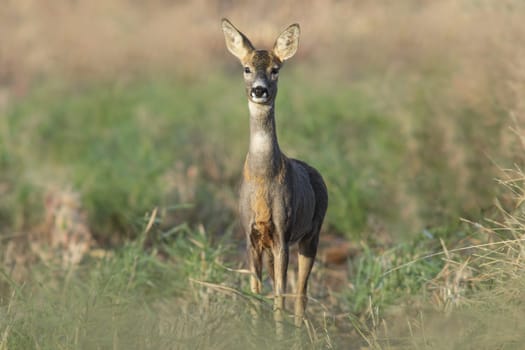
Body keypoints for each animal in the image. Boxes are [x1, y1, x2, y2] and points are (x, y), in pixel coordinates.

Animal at [220, 17, 328, 326]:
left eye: (275, 69)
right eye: (246, 68)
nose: (259, 90)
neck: (262, 177)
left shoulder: (283, 232)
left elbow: (280, 295)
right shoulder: (250, 235)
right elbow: (256, 293)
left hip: (312, 233)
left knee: (301, 293)